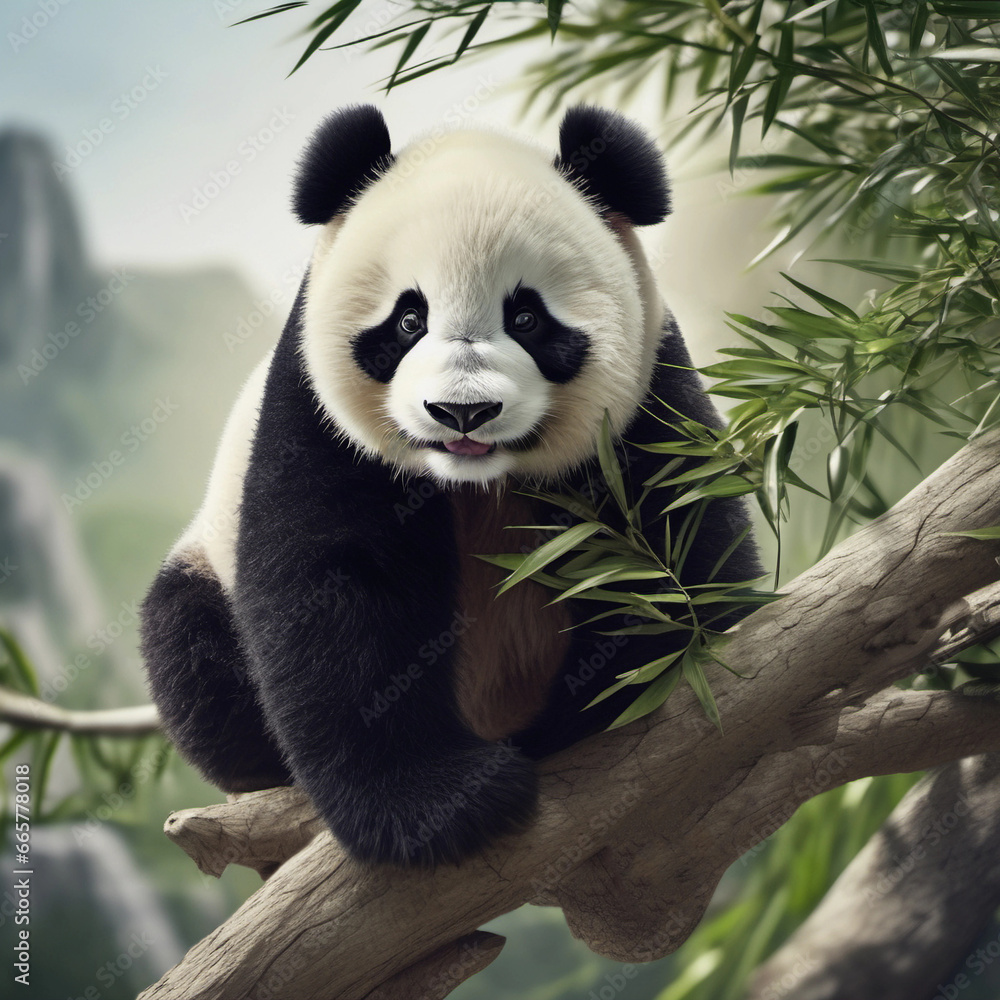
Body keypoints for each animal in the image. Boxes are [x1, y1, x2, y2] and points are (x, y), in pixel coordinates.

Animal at [140, 104, 761, 868]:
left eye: (526, 317)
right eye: (409, 319)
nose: (463, 412)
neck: (476, 480)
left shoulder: (651, 386)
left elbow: (680, 550)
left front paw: (585, 708)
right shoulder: (311, 413)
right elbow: (333, 589)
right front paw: (443, 807)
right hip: (204, 565)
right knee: (189, 651)